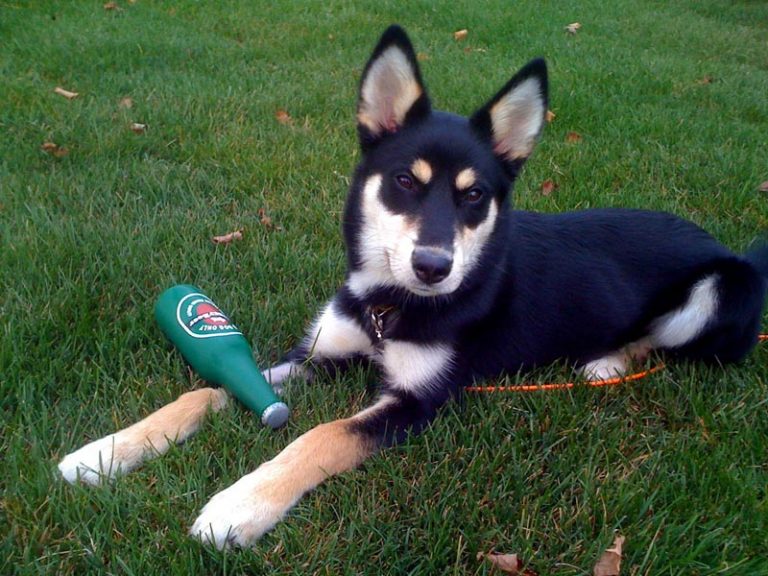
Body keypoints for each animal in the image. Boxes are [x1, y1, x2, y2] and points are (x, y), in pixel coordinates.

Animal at [55, 25, 768, 548]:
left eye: (474, 196)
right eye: (404, 181)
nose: (432, 266)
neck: (389, 306)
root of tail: (729, 248)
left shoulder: (419, 401)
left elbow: (321, 435)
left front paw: (239, 506)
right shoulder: (318, 353)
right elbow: (207, 389)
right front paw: (107, 453)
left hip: (718, 293)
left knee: (667, 347)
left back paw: (609, 361)